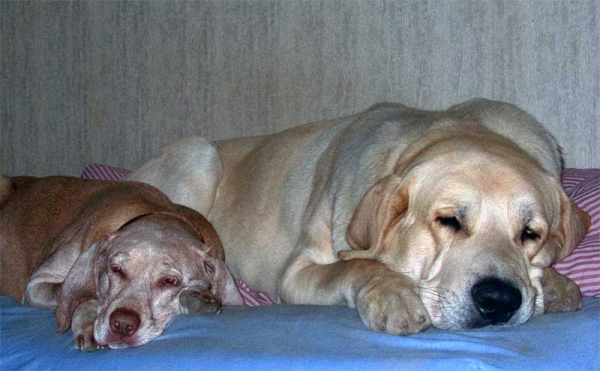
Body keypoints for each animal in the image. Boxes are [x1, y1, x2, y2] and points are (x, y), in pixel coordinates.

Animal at [0, 177, 244, 352]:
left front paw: (196, 300)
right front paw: (87, 320)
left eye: (170, 281)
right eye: (115, 269)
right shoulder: (35, 286)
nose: (122, 325)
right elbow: (84, 293)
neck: (160, 212)